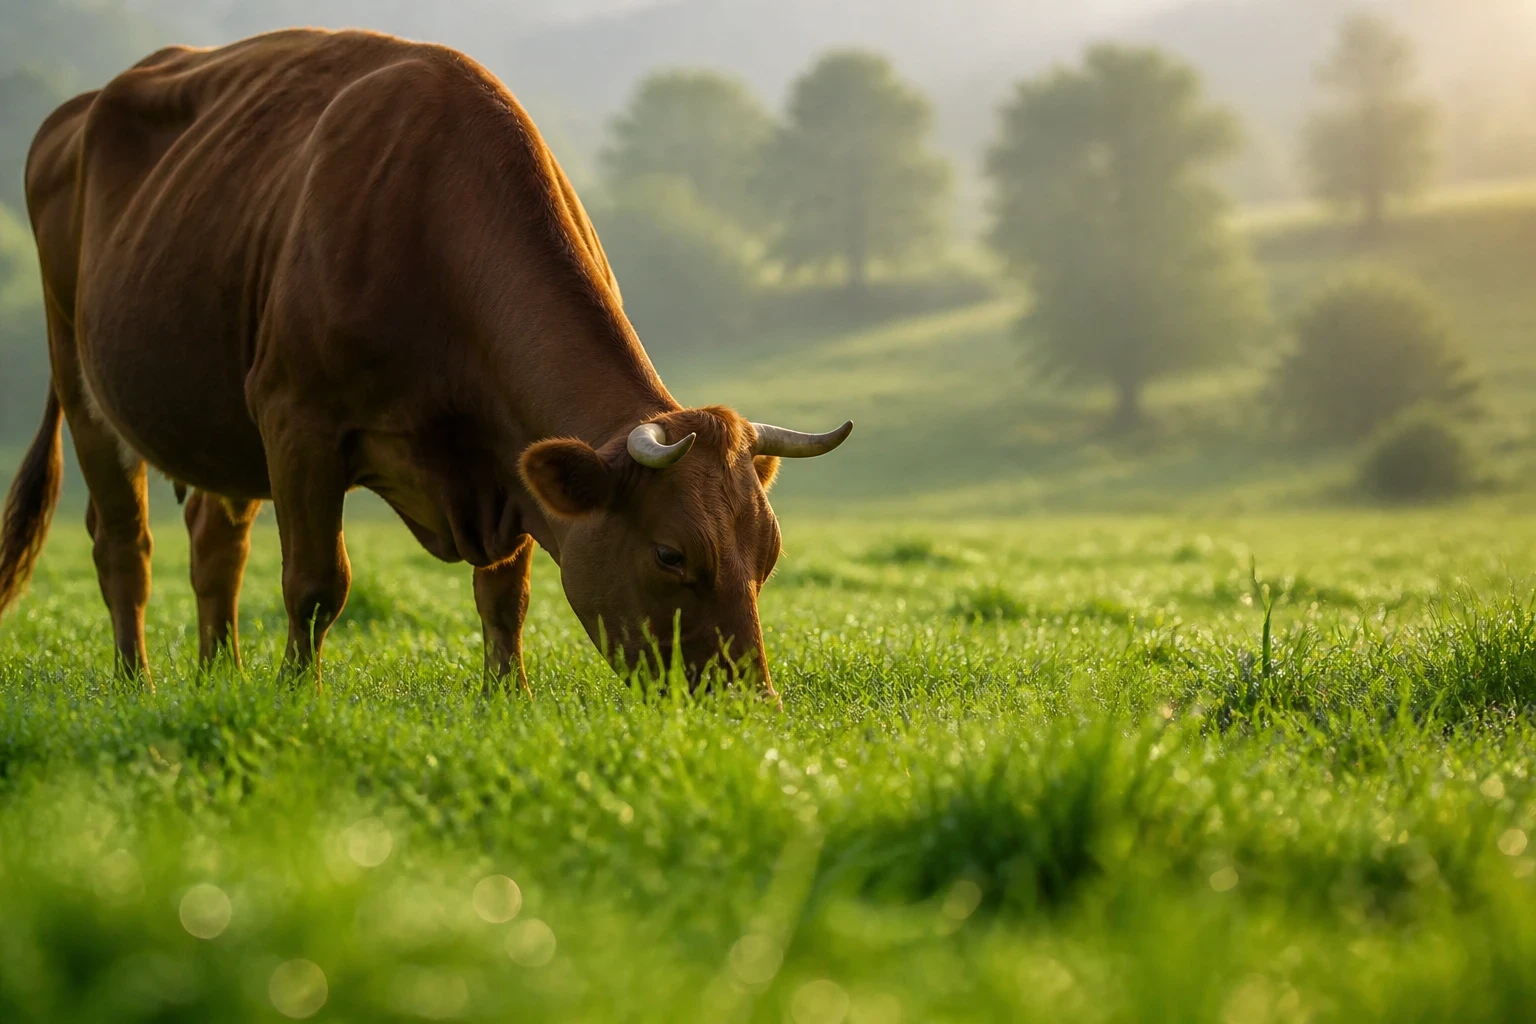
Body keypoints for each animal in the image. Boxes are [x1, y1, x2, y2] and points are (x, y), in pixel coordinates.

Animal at [0, 29, 851, 698]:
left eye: (768, 554)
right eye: (672, 554)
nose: (749, 703)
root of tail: (74, 111)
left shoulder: (507, 459)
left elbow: (505, 594)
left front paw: (507, 698)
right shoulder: (296, 417)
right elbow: (317, 583)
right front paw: (294, 697)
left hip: (215, 422)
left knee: (216, 541)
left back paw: (220, 677)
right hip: (83, 378)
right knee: (124, 546)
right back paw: (136, 683)